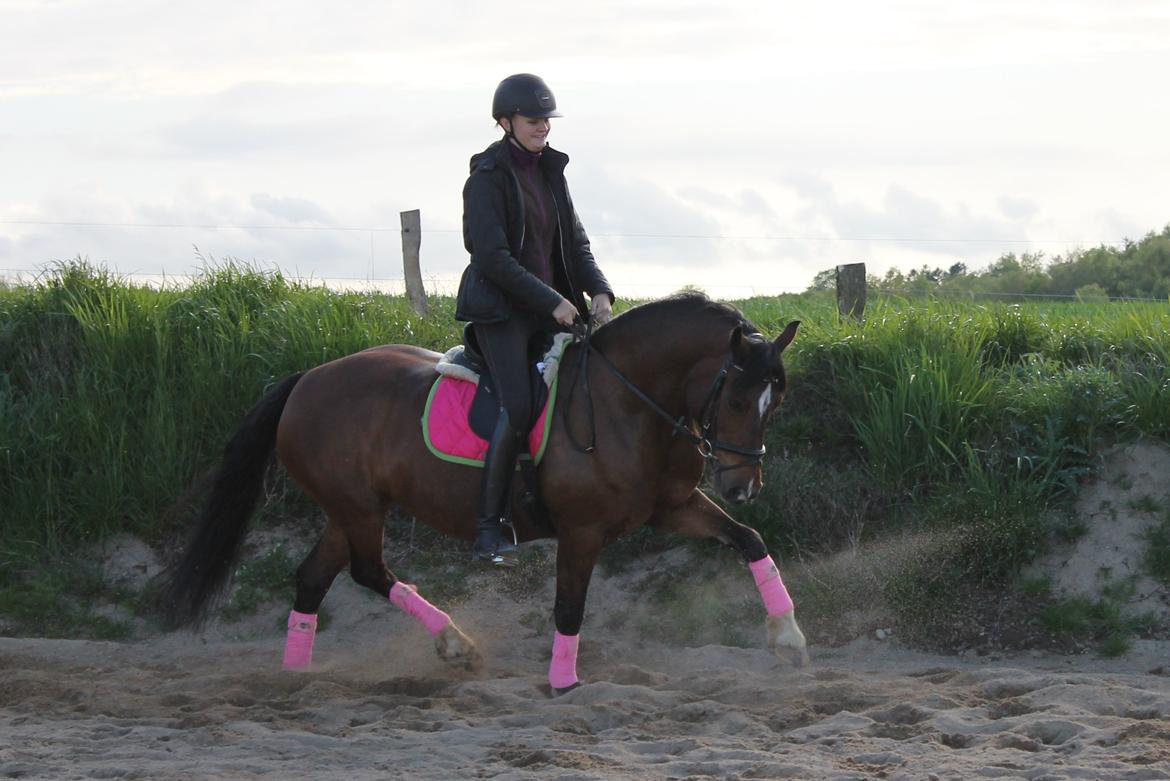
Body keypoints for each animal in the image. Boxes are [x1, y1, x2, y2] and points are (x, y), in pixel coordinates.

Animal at [162, 291, 807, 693]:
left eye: (775, 402)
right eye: (735, 399)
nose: (741, 485)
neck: (628, 403)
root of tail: (306, 381)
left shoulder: (670, 508)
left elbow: (749, 540)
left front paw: (789, 640)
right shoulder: (581, 531)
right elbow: (569, 605)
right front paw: (564, 683)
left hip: (349, 509)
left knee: (313, 577)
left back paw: (298, 675)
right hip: (358, 507)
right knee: (368, 572)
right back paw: (456, 644)